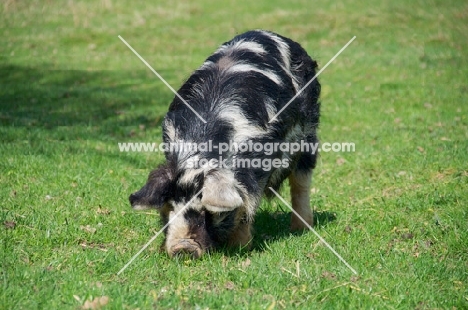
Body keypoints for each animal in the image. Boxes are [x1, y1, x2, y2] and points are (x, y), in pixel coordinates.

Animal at [131, 30, 322, 260]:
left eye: (207, 211)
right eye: (169, 207)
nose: (183, 247)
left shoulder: (255, 169)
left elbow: (246, 203)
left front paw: (239, 249)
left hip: (309, 135)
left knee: (301, 182)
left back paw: (301, 228)